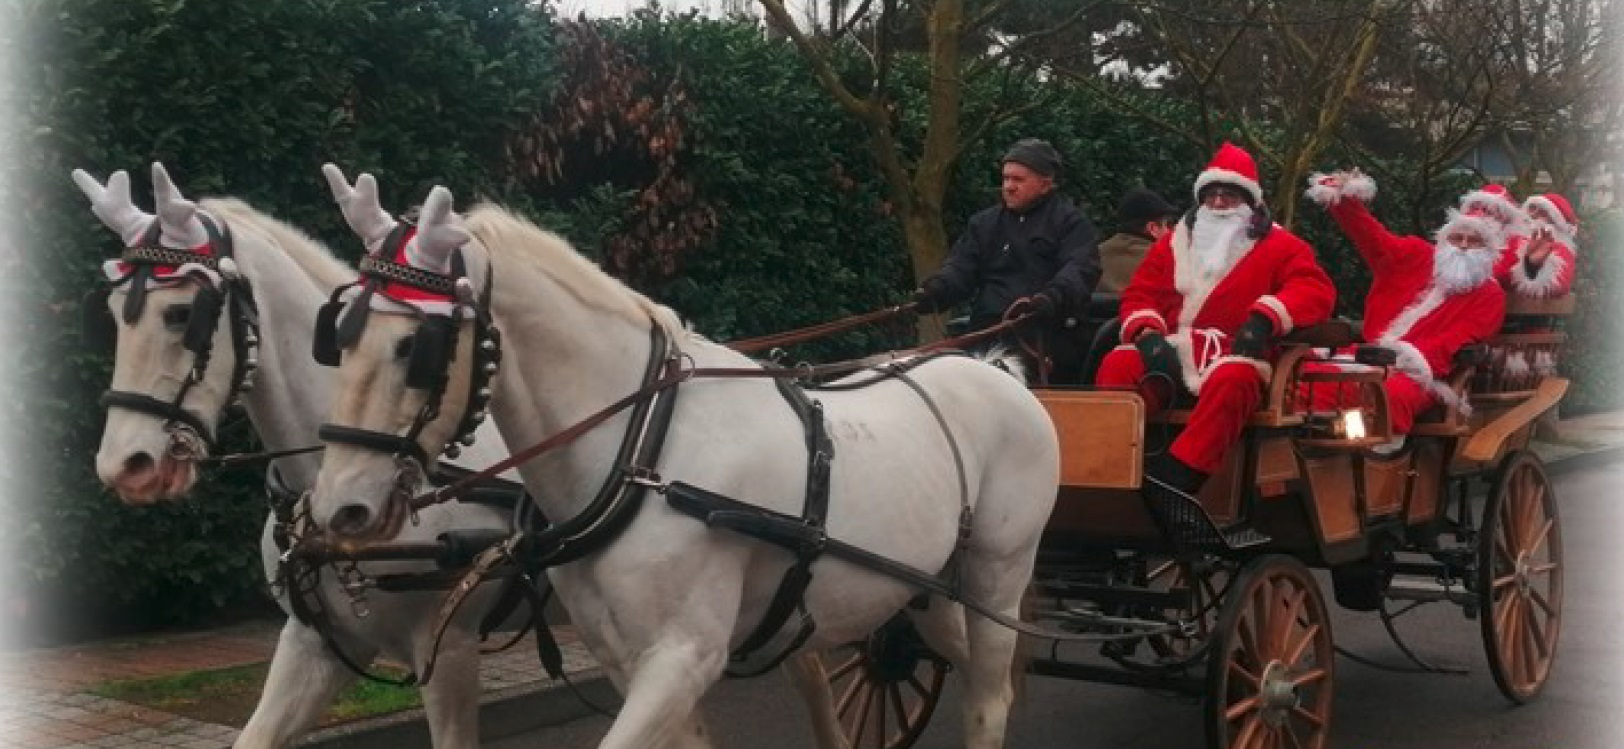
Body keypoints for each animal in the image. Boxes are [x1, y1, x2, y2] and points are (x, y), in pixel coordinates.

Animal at [305, 168, 1065, 747]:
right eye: (336, 336)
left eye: (415, 347)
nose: (341, 506)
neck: (642, 452)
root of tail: (997, 369)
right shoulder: (628, 657)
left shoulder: (683, 656)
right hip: (930, 589)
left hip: (998, 575)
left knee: (988, 698)